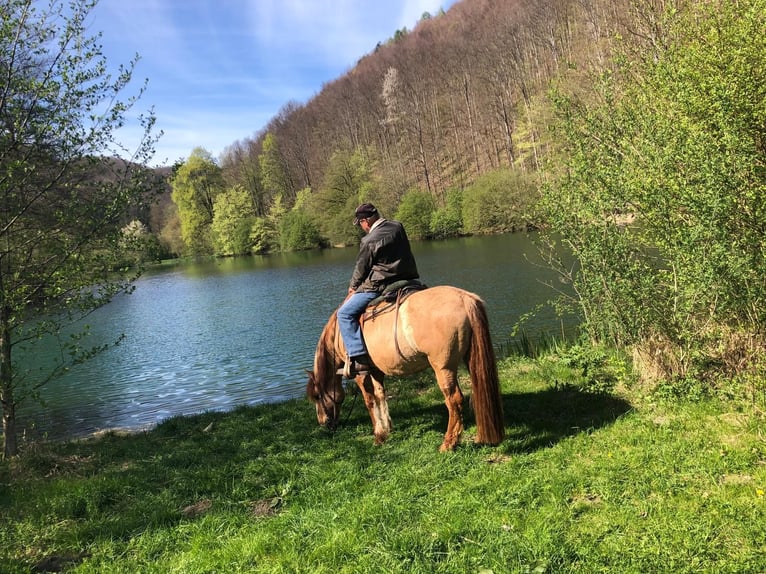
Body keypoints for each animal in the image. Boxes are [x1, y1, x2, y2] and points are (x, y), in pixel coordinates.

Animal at [306, 286, 504, 452]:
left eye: (317, 396)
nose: (323, 423)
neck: (336, 334)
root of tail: (464, 298)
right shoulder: (376, 371)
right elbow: (380, 396)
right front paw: (387, 429)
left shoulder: (360, 375)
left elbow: (369, 401)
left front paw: (378, 436)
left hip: (443, 368)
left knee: (454, 400)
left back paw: (448, 444)